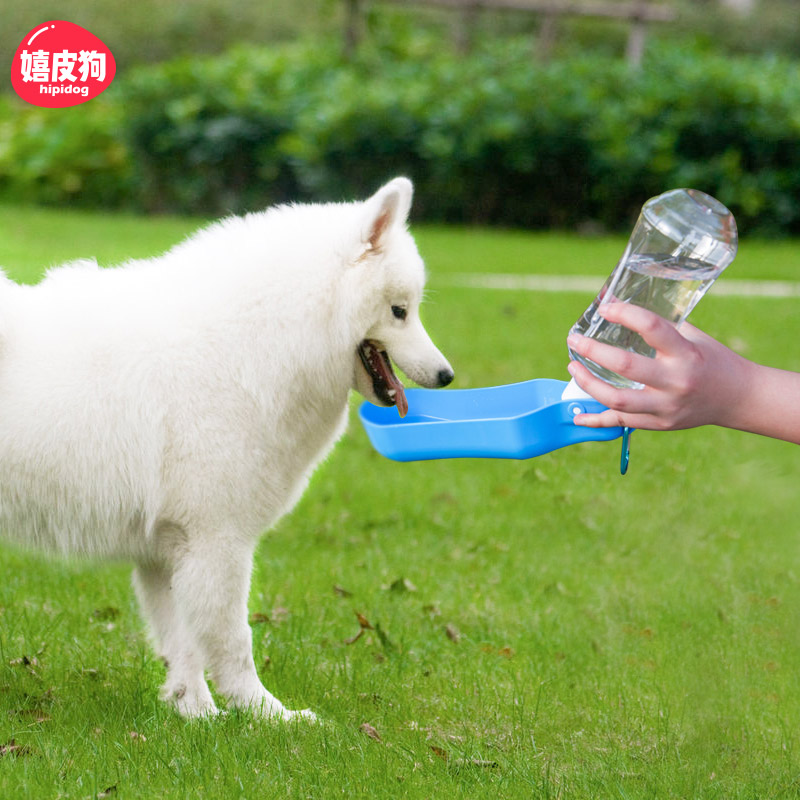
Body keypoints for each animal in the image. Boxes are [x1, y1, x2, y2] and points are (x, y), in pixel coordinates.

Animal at [0, 180, 450, 720]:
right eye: (400, 311)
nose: (447, 375)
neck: (253, 343)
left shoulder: (171, 551)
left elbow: (184, 644)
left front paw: (195, 714)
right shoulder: (217, 542)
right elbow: (233, 640)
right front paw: (265, 715)